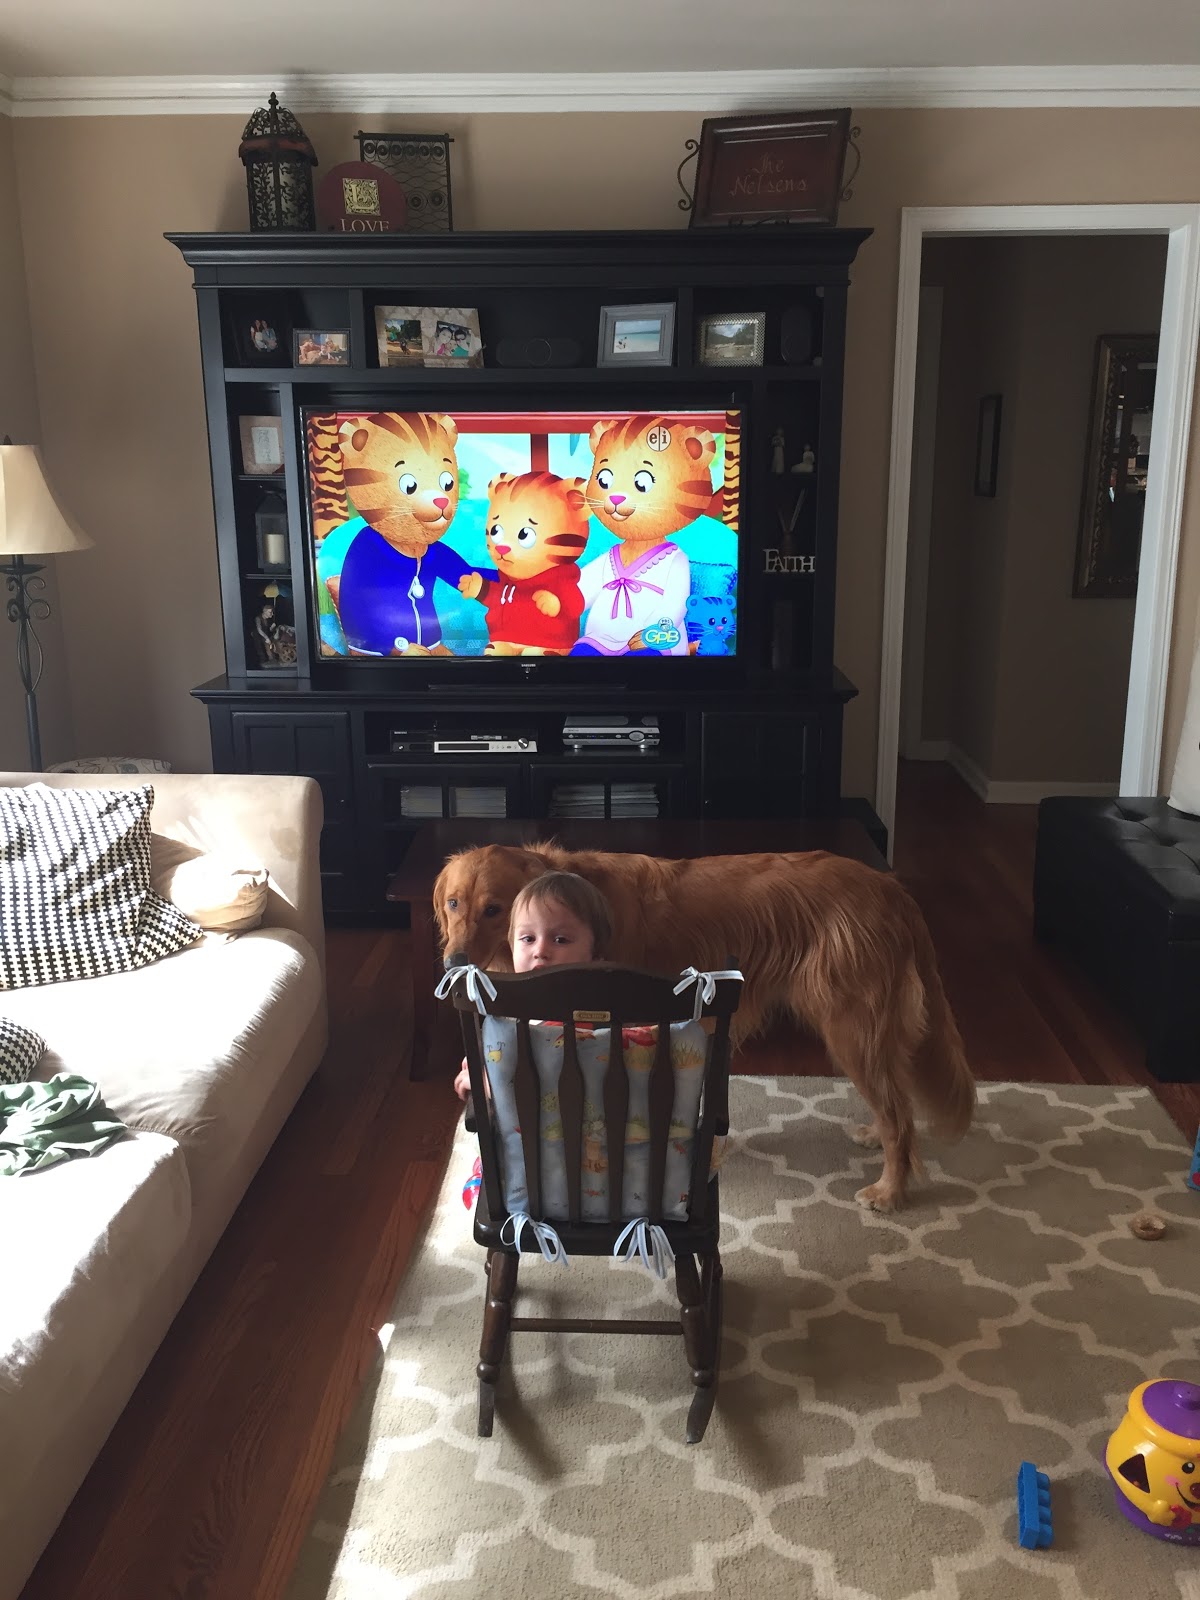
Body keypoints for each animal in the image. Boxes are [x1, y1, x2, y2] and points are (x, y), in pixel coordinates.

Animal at [433, 842, 975, 1211]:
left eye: (494, 909)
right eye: (454, 904)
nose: (453, 963)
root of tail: (890, 887)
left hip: (851, 1026)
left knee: (899, 1114)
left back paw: (890, 1190)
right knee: (895, 1102)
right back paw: (874, 1139)